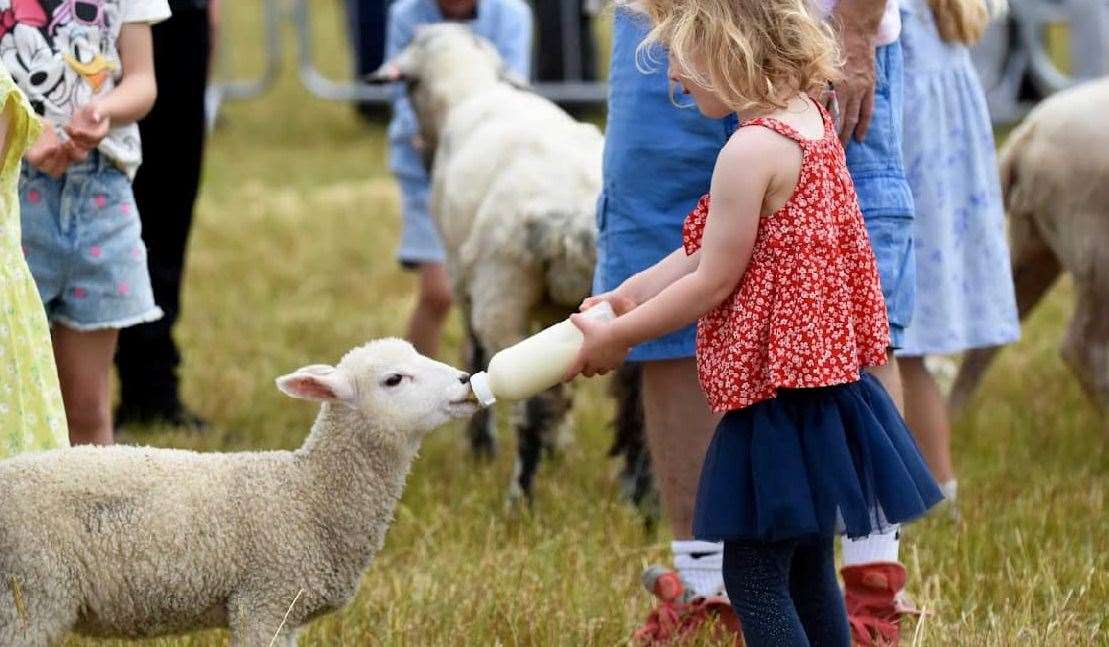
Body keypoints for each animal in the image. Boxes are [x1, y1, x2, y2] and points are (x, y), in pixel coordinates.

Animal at [0, 341, 472, 643]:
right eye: (394, 379)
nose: (468, 379)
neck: (308, 493)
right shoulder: (264, 601)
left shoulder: (286, 613)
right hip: (31, 594)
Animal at [372, 26, 647, 506]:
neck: (471, 87)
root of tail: (571, 218)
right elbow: (562, 387)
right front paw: (559, 446)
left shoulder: (465, 283)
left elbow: (476, 356)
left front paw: (483, 448)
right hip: (626, 295)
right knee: (633, 401)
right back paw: (638, 500)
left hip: (503, 293)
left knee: (527, 399)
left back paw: (521, 497)